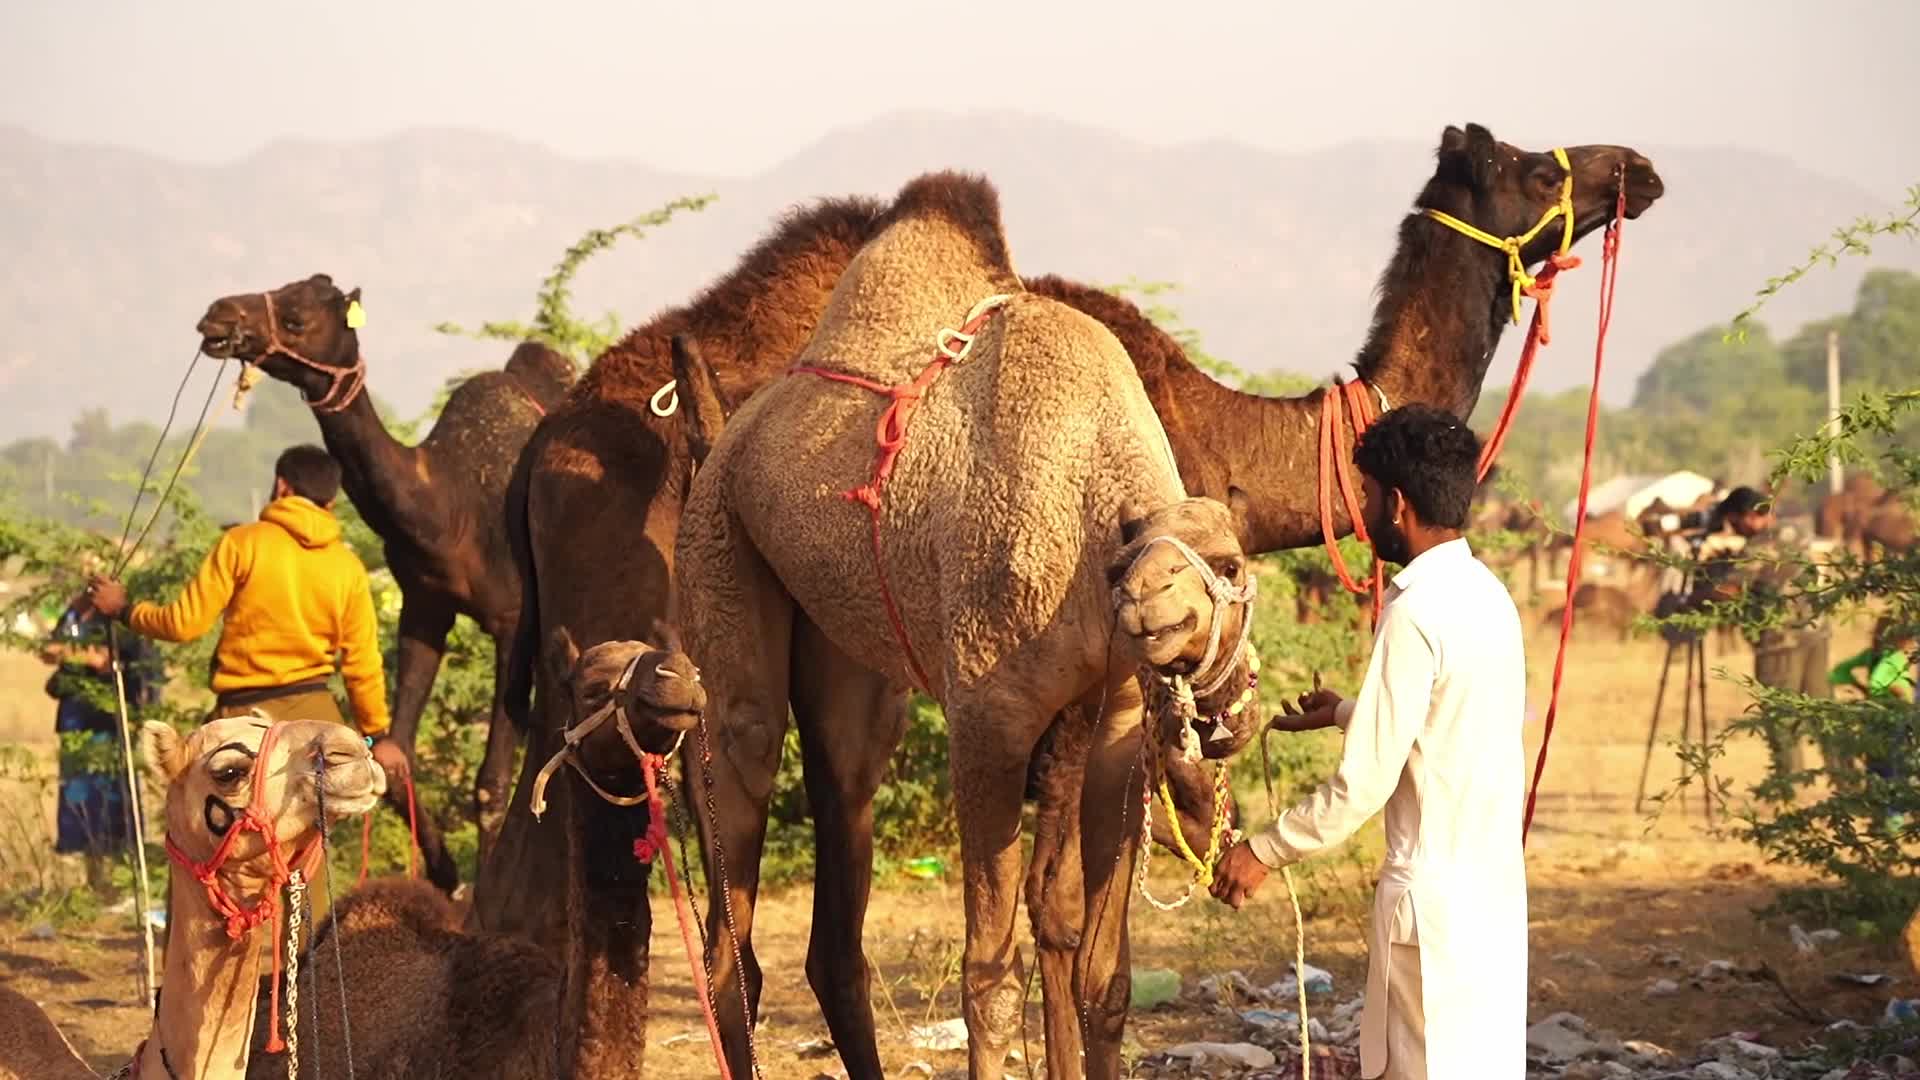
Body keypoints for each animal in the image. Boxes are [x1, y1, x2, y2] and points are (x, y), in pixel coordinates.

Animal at [197, 276, 576, 891]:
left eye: (299, 315)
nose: (218, 314)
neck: (448, 506)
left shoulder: (511, 622)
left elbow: (490, 783)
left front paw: (485, 894)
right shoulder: (423, 606)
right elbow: (395, 759)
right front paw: (447, 876)